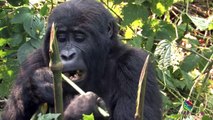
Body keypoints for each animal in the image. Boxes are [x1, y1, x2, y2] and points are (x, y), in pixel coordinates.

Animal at [1, 0, 161, 119]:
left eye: (79, 38)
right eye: (61, 38)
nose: (67, 55)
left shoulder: (135, 65)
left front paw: (82, 108)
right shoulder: (31, 63)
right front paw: (42, 80)